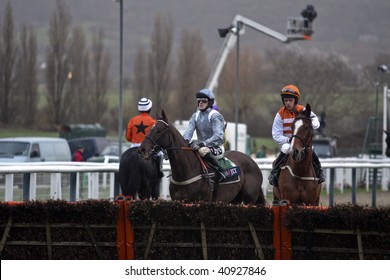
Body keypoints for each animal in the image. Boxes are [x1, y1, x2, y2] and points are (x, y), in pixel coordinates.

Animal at [137, 110, 266, 205]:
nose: (142, 149)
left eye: (159, 130)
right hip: (234, 199)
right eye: (150, 129)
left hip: (249, 199)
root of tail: (253, 162)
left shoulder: (203, 201)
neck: (186, 172)